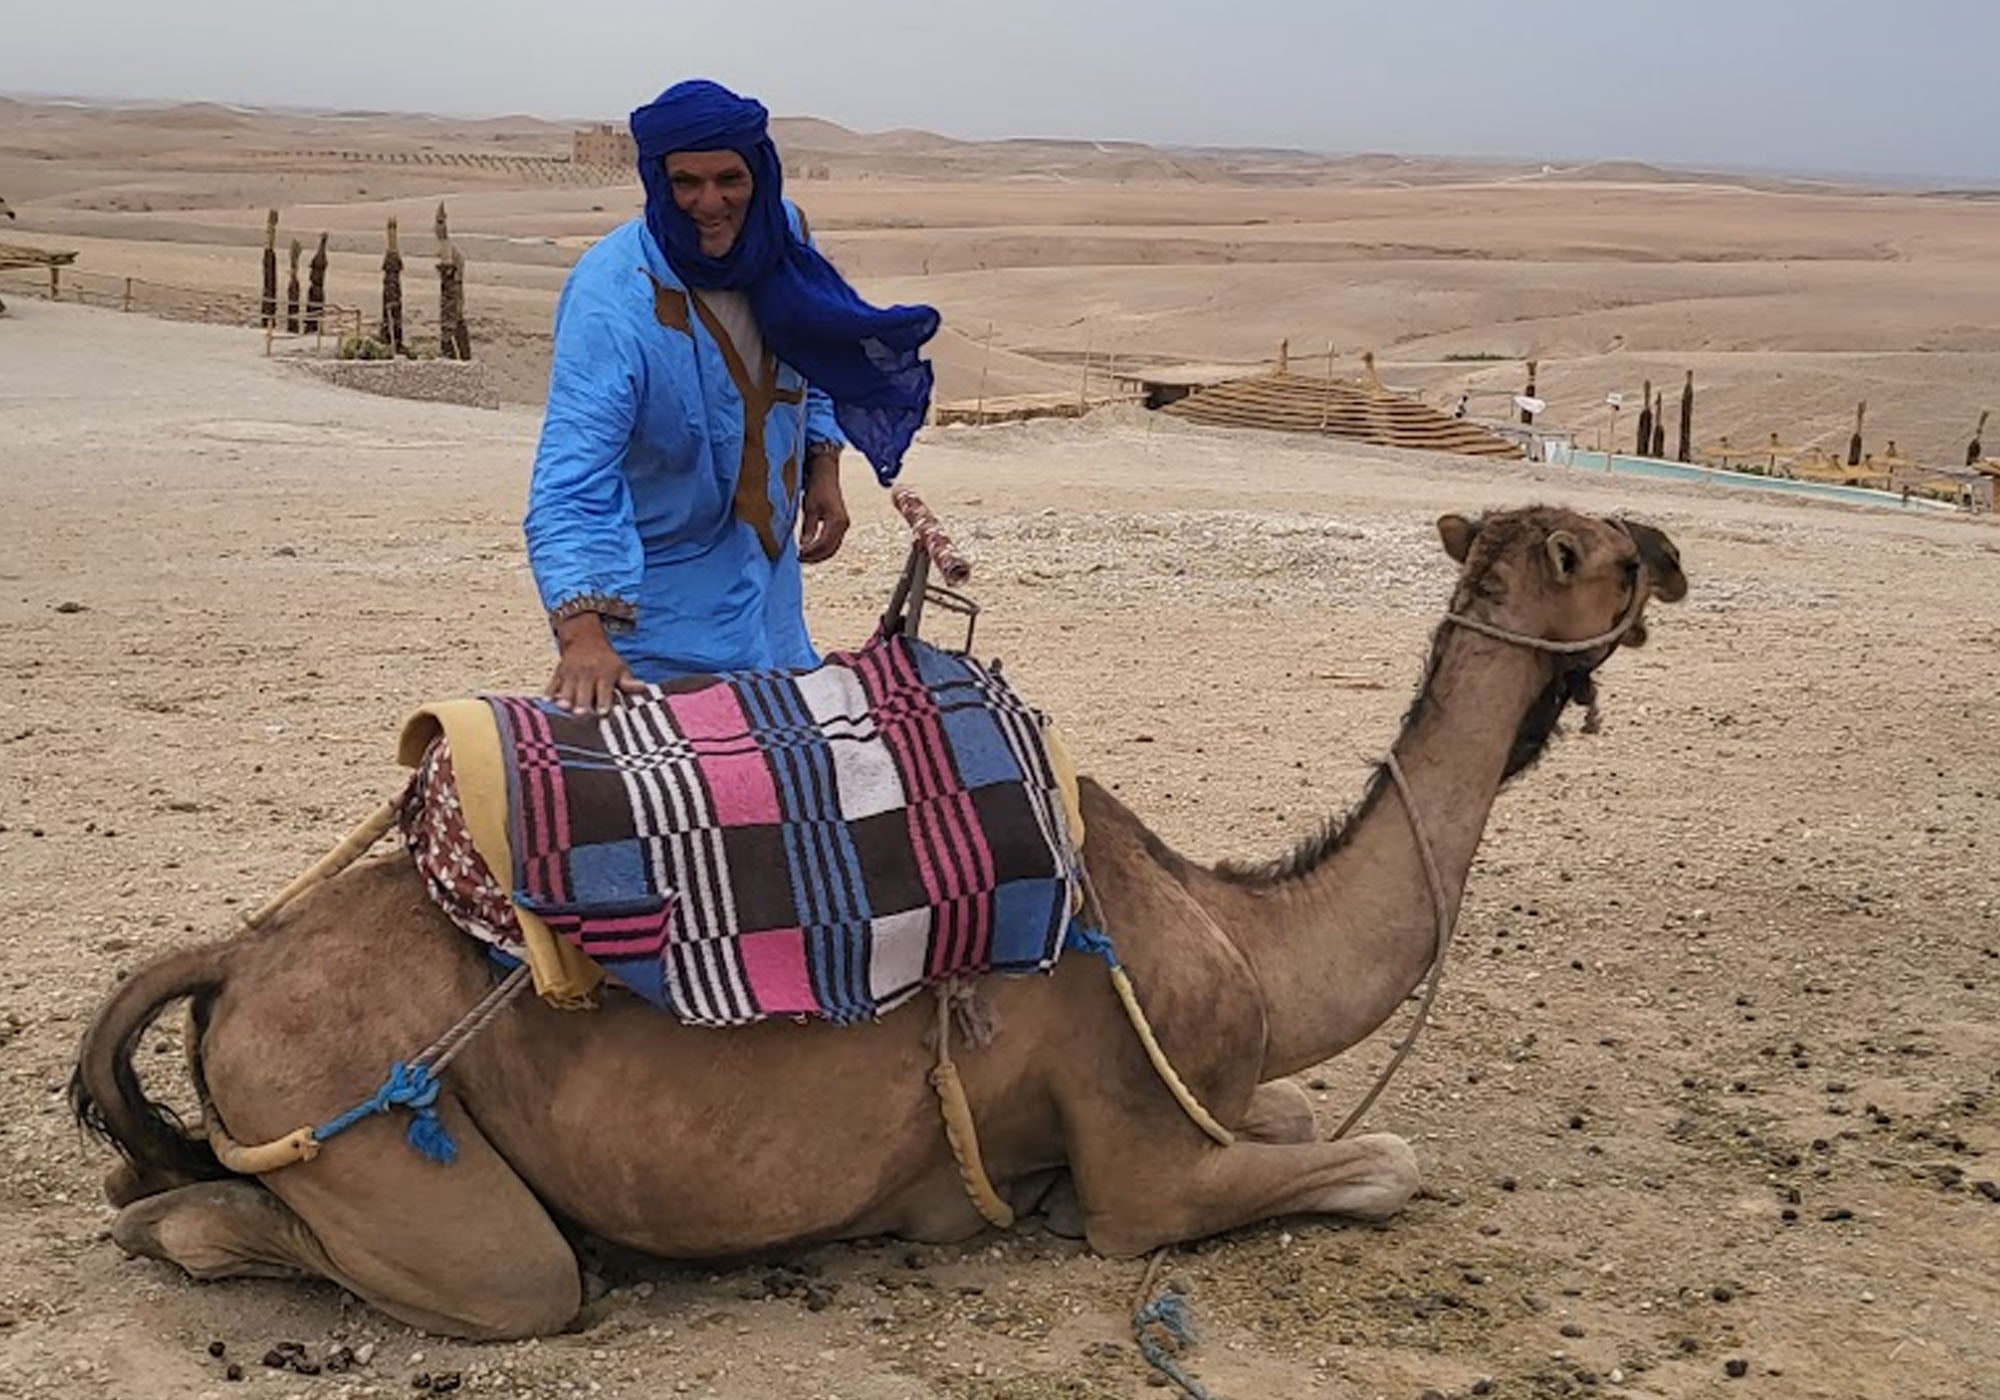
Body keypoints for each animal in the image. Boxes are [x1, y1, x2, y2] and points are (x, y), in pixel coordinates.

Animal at [72, 504, 1686, 1340]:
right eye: (1595, 552)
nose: (1670, 548)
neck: (1235, 931)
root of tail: (241, 954)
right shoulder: (1141, 1160)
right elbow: (1386, 1160)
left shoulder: (1210, 1094)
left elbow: (1298, 1114)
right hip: (371, 1128)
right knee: (407, 1256)